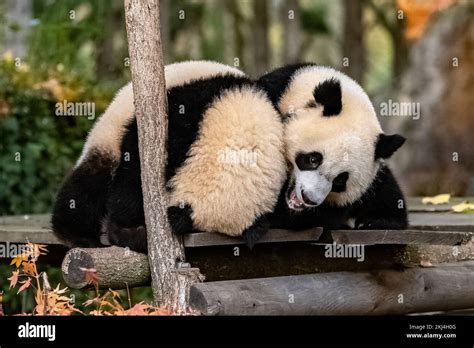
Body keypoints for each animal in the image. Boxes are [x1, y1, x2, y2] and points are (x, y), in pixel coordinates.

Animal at [51, 60, 286, 253]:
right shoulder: (192, 105)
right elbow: (136, 162)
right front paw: (128, 228)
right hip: (108, 135)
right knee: (90, 181)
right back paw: (77, 236)